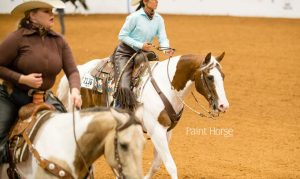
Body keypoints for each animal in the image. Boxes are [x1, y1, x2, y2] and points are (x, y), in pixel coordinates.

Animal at [56, 51, 230, 178]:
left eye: (223, 76)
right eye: (210, 77)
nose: (223, 106)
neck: (165, 86)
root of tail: (79, 69)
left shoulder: (167, 131)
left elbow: (157, 163)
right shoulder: (156, 131)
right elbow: (171, 165)